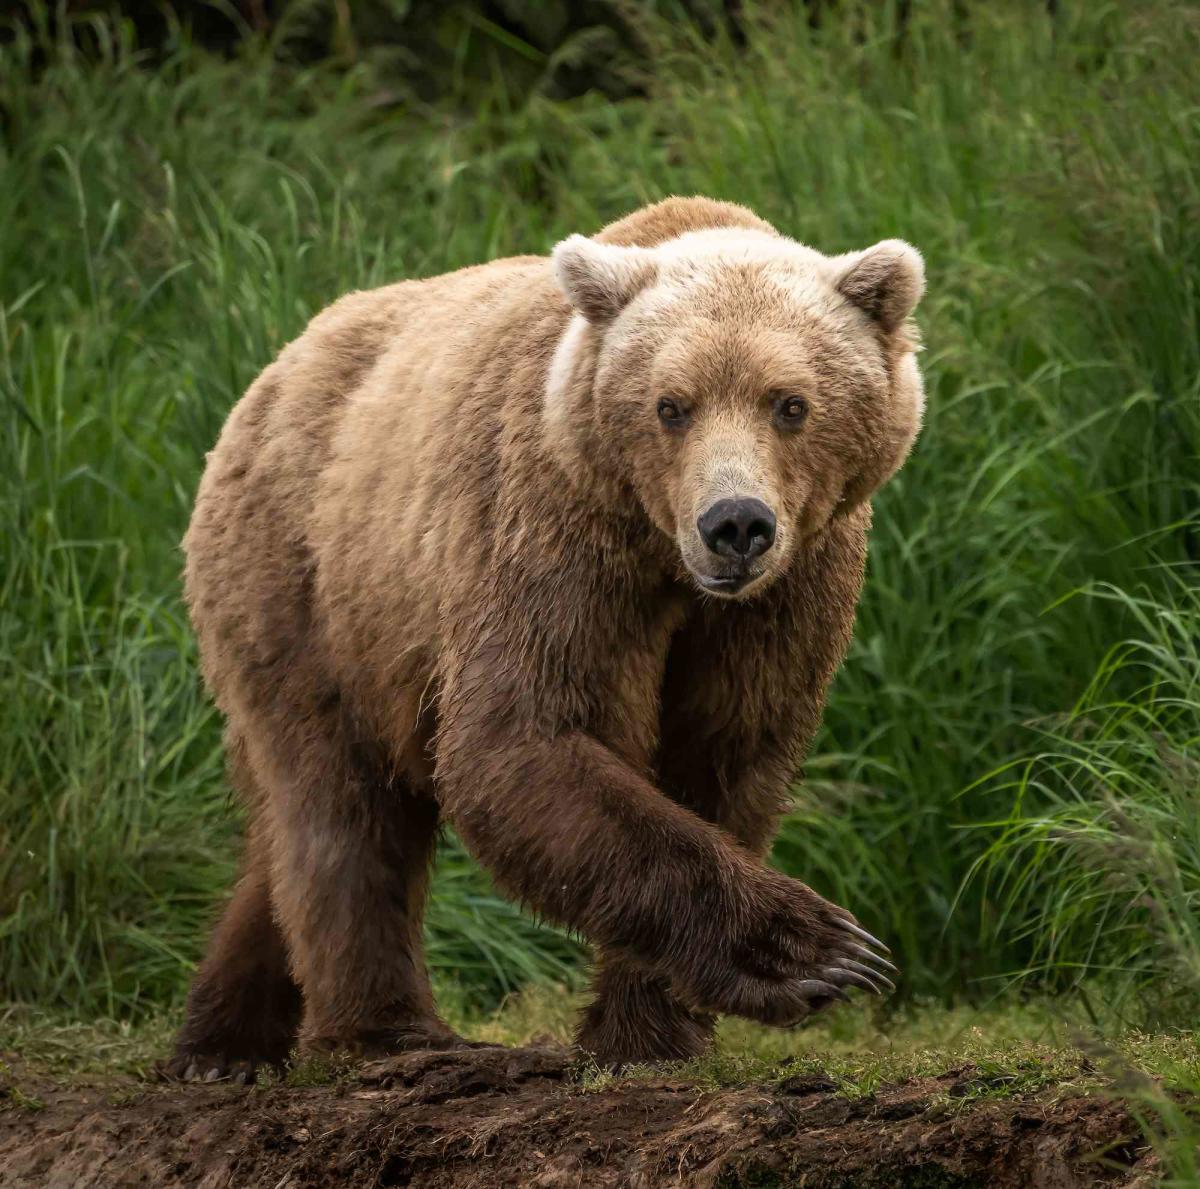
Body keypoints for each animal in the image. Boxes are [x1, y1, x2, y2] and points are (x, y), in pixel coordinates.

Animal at [169, 195, 921, 1079]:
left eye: (790, 402)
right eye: (671, 405)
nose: (735, 524)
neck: (663, 558)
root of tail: (273, 371)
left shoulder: (786, 591)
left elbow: (723, 754)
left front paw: (648, 1030)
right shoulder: (554, 533)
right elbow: (525, 734)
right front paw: (819, 951)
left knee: (286, 834)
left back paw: (223, 1039)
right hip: (312, 584)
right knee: (340, 808)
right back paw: (386, 1030)